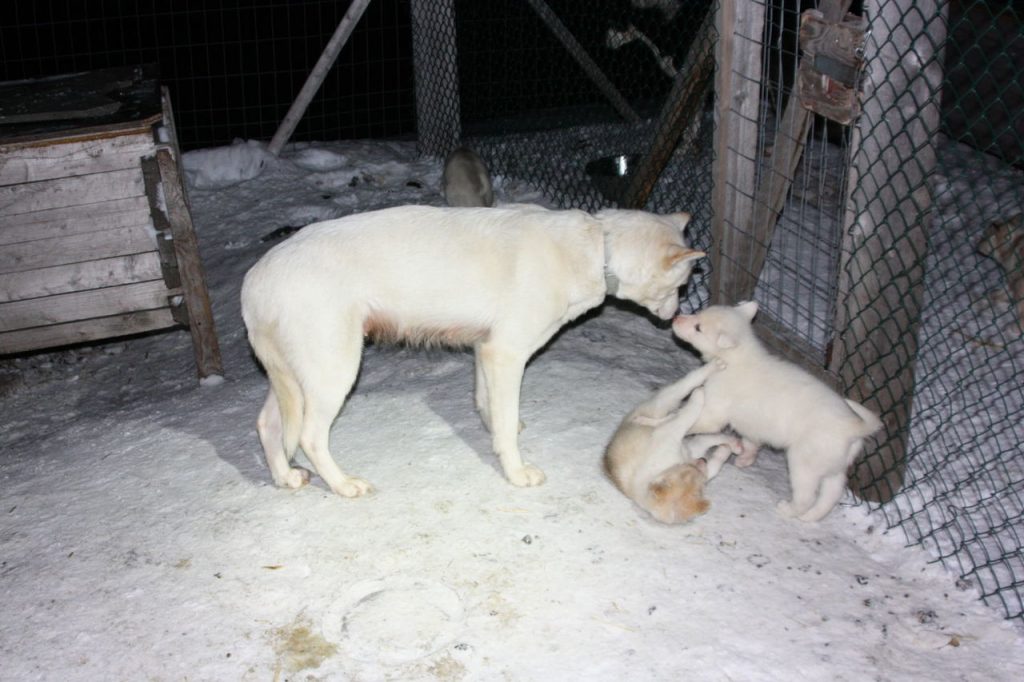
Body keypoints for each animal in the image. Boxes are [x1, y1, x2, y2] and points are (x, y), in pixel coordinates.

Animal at [240, 201, 704, 493]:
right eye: (682, 286)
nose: (676, 317)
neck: (597, 247)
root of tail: (256, 276)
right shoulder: (507, 355)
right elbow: (506, 424)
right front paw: (516, 472)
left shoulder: (487, 351)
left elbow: (489, 408)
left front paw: (493, 430)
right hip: (334, 371)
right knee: (310, 437)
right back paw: (342, 485)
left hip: (296, 379)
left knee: (268, 425)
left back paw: (285, 478)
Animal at [602, 358, 741, 522]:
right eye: (688, 474)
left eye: (700, 487)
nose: (702, 460)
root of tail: (624, 423)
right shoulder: (672, 433)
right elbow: (689, 415)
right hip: (667, 407)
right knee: (688, 392)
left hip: (666, 412)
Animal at [671, 299, 880, 520]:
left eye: (698, 328)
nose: (676, 317)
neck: (737, 357)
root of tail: (852, 427)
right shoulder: (751, 425)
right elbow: (751, 442)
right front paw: (745, 459)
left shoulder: (714, 412)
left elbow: (697, 422)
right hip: (834, 466)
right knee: (831, 493)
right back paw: (811, 517)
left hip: (804, 463)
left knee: (806, 497)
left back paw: (788, 510)